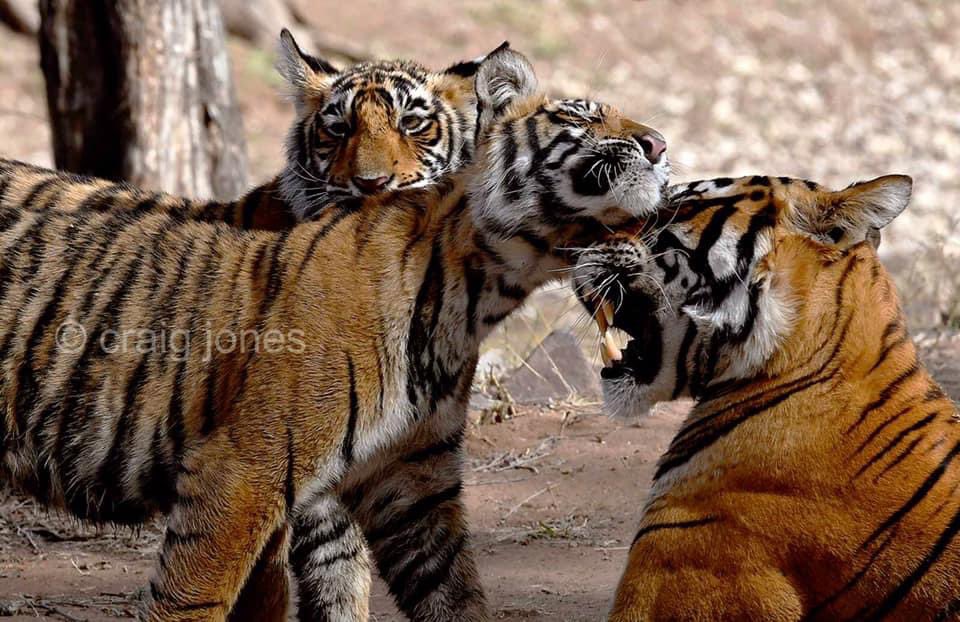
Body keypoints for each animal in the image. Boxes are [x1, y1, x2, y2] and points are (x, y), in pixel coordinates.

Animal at [0, 45, 670, 622]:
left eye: (414, 124)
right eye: (580, 115)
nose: (660, 144)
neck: (482, 290)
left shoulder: (412, 477)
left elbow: (449, 590)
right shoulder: (241, 473)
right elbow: (197, 597)